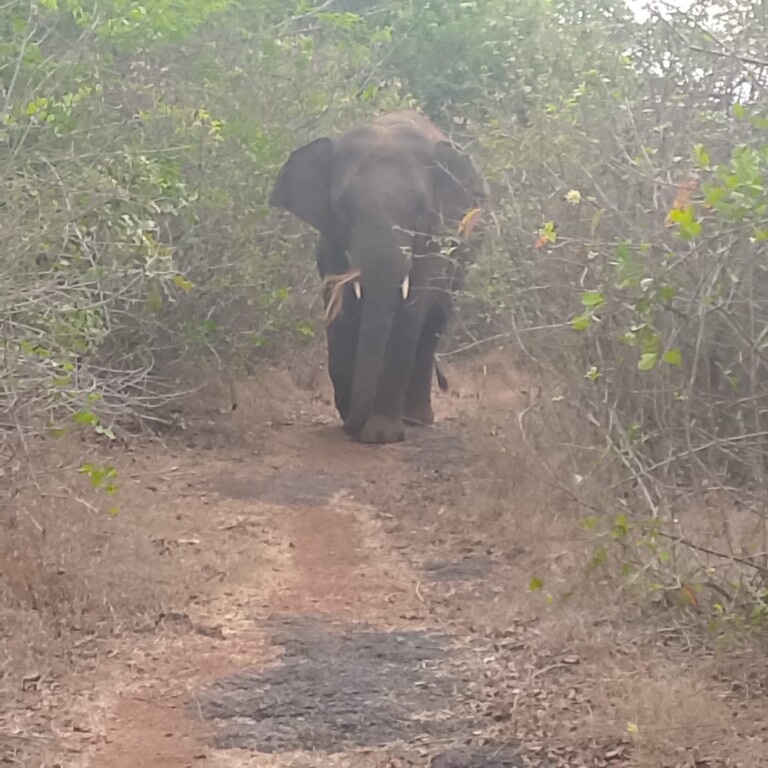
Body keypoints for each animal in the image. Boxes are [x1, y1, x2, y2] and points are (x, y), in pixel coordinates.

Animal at [270, 110, 486, 444]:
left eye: (421, 210)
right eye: (343, 208)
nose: (350, 424)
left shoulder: (431, 242)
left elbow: (410, 311)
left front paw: (381, 436)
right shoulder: (330, 242)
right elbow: (342, 311)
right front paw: (351, 418)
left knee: (433, 325)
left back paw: (416, 419)